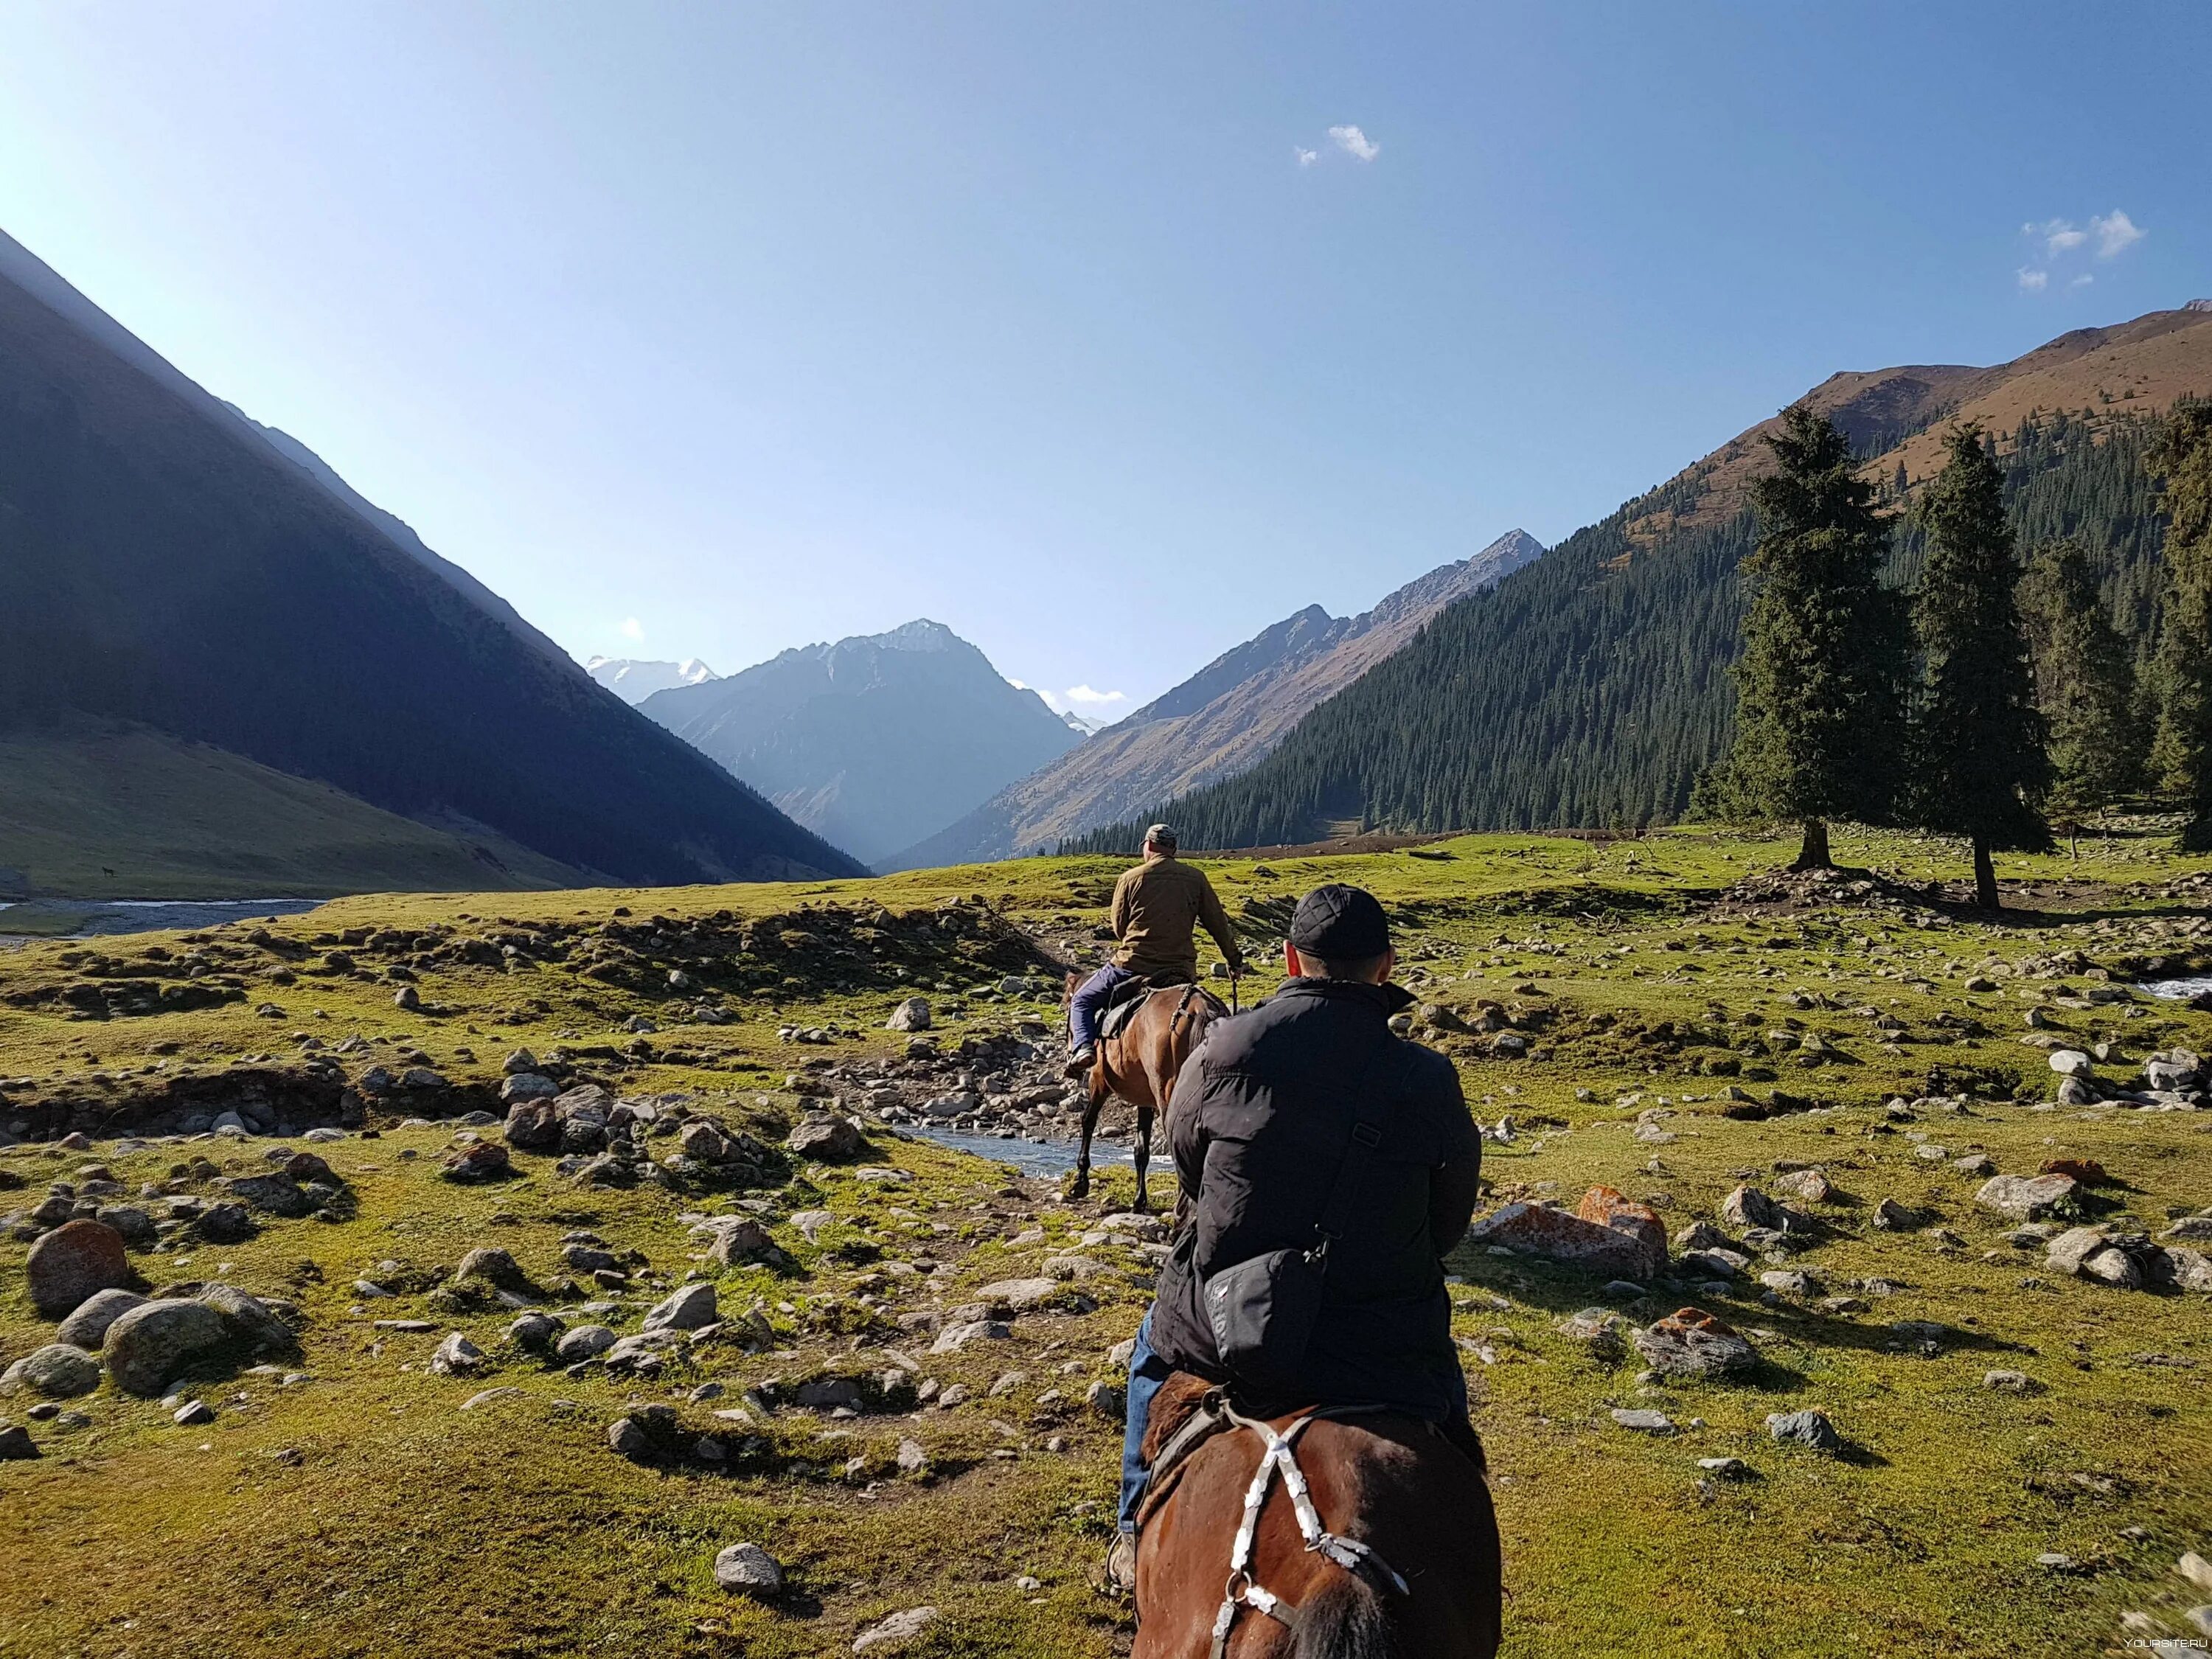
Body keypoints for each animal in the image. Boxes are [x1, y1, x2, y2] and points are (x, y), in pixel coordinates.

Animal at [1057, 982, 1230, 1212]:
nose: (1071, 1064)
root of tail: (1200, 1008)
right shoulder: (1145, 1101)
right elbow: (1141, 1149)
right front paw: (1139, 1201)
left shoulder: (1099, 1081)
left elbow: (1088, 1121)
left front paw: (1080, 1183)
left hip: (1167, 1093)